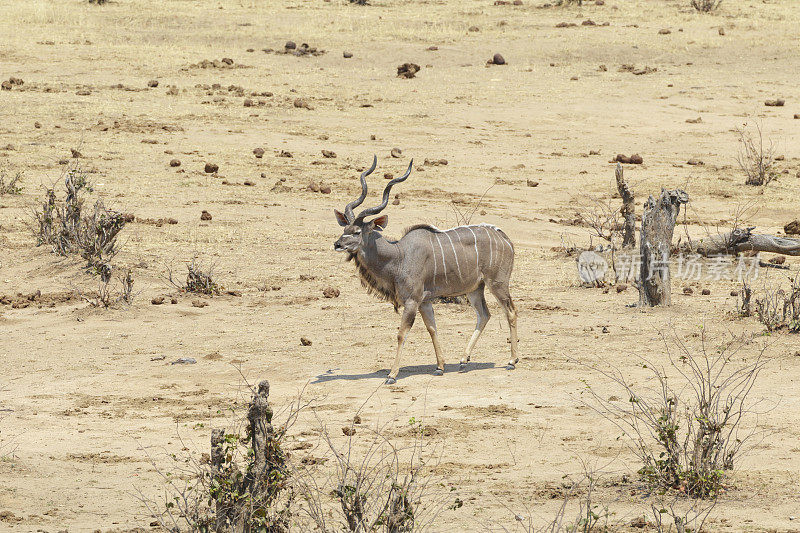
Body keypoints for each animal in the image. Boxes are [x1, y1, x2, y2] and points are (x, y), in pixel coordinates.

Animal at [332, 154, 520, 382]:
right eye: (345, 228)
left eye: (357, 231)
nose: (337, 244)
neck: (399, 255)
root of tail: (505, 239)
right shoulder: (425, 301)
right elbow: (432, 328)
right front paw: (440, 367)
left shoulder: (412, 300)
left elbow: (401, 333)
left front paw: (392, 374)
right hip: (475, 289)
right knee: (484, 315)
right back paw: (463, 360)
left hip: (497, 283)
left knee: (510, 311)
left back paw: (512, 361)